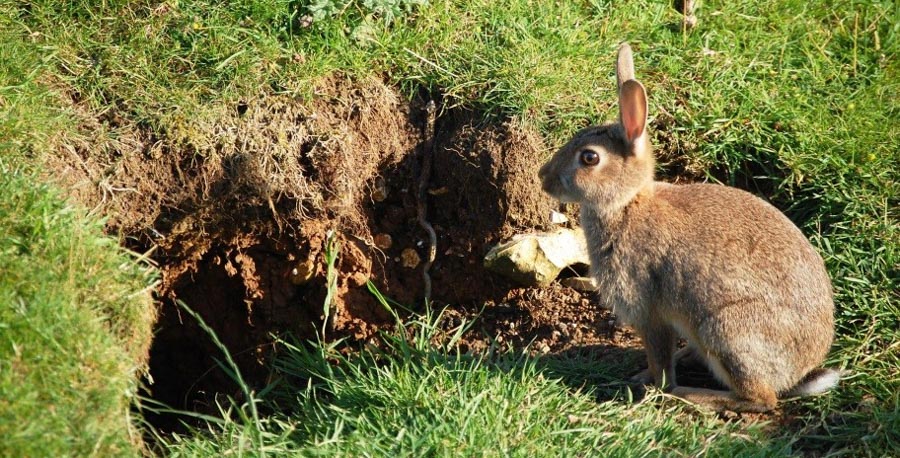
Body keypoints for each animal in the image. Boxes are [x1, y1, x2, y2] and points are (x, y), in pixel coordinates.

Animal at [536, 43, 840, 416]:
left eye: (589, 158)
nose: (543, 177)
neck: (627, 204)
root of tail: (800, 372)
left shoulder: (648, 311)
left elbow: (659, 359)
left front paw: (656, 386)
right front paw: (642, 378)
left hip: (727, 330)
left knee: (761, 399)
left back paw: (689, 394)